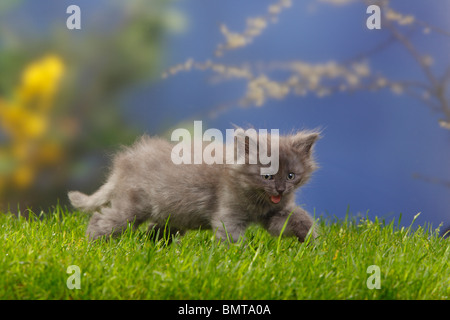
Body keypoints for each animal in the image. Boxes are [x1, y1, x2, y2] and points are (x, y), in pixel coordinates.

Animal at [67, 129, 320, 241]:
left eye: (291, 176)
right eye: (267, 177)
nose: (280, 190)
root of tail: (124, 163)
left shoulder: (275, 212)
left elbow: (295, 219)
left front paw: (310, 241)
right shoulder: (228, 214)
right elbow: (231, 237)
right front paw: (236, 260)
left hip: (170, 214)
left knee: (155, 230)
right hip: (133, 206)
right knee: (104, 219)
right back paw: (94, 243)